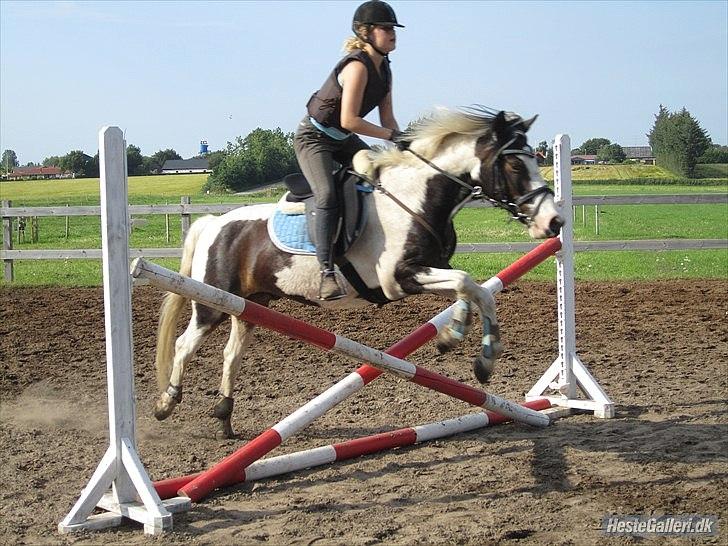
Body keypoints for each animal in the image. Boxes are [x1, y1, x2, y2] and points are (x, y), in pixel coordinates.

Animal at [153, 107, 564, 439]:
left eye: (536, 159)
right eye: (515, 165)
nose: (554, 222)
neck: (417, 198)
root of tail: (213, 223)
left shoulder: (430, 270)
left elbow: (476, 291)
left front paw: (476, 352)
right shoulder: (399, 278)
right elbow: (466, 283)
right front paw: (458, 337)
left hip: (250, 305)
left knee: (231, 353)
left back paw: (224, 417)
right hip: (212, 305)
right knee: (184, 345)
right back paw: (166, 404)